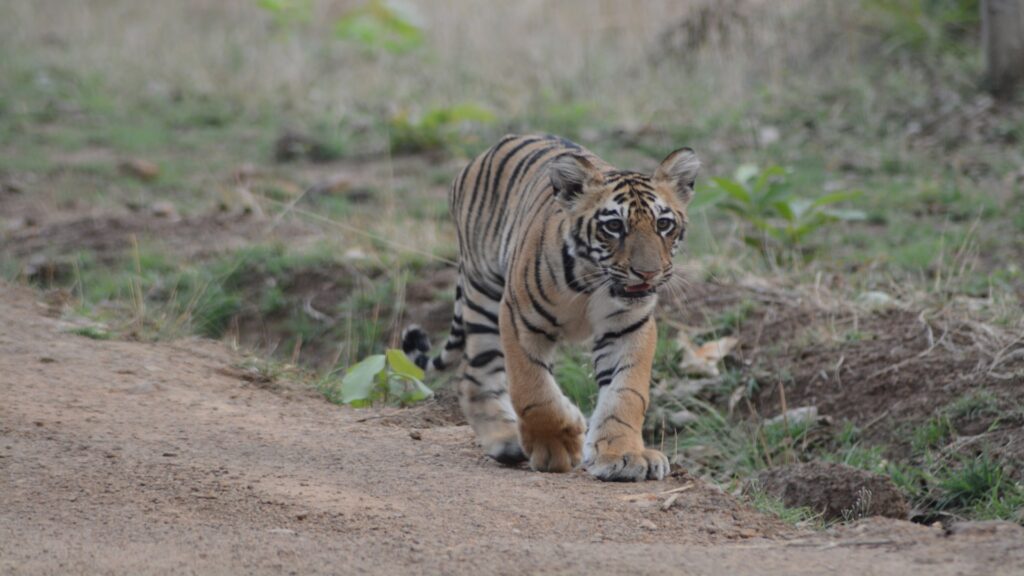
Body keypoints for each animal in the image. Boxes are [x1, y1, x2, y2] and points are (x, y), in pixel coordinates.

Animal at [403, 134, 700, 479]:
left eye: (664, 224)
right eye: (614, 226)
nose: (648, 273)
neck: (592, 283)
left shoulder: (629, 326)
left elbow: (626, 394)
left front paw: (623, 455)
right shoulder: (519, 318)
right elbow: (533, 390)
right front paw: (558, 446)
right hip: (483, 293)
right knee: (474, 377)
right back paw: (506, 441)